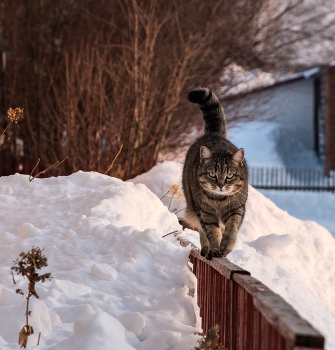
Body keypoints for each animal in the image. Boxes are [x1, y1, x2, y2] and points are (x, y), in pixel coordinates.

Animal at [182, 89, 248, 262]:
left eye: (230, 175)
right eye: (212, 174)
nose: (221, 185)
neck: (219, 201)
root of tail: (213, 133)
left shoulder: (237, 208)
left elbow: (231, 229)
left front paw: (225, 246)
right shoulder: (205, 213)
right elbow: (211, 232)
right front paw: (214, 249)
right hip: (193, 209)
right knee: (202, 232)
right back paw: (206, 249)